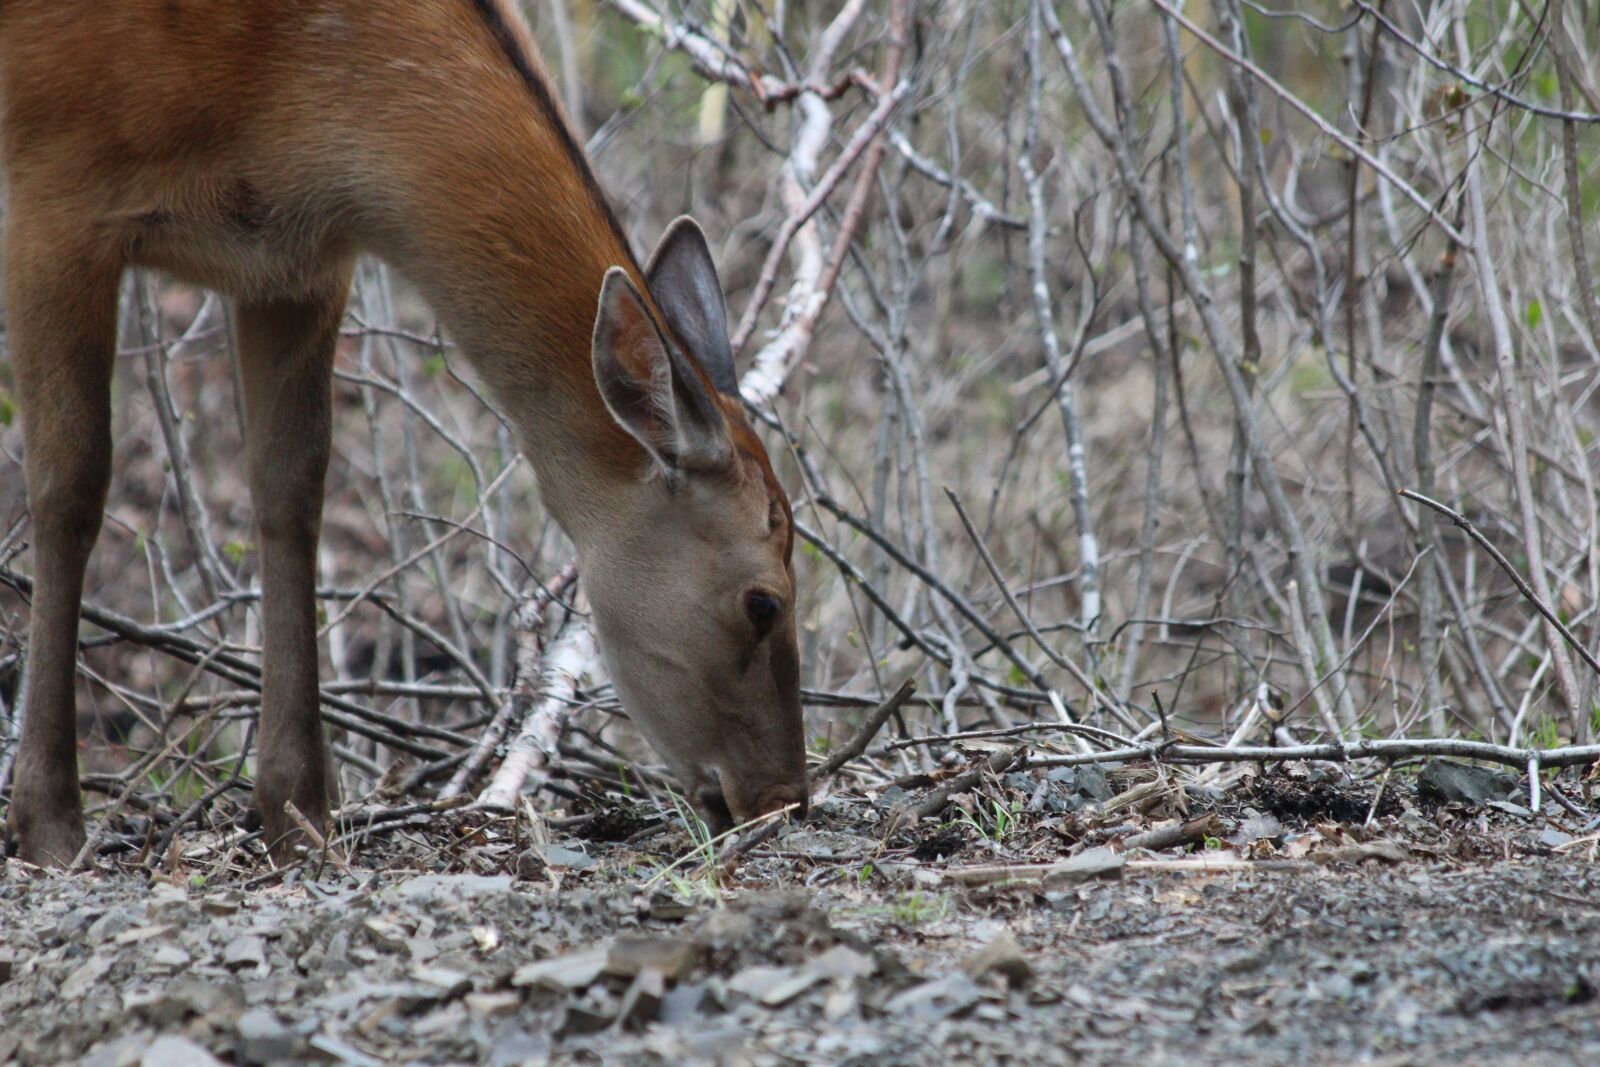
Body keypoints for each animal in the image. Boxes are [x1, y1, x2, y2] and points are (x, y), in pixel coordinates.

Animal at [0, 0, 809, 867]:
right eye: (764, 601)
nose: (786, 797)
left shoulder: (291, 264)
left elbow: (292, 491)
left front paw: (299, 811)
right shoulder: (56, 188)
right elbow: (71, 485)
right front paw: (49, 823)